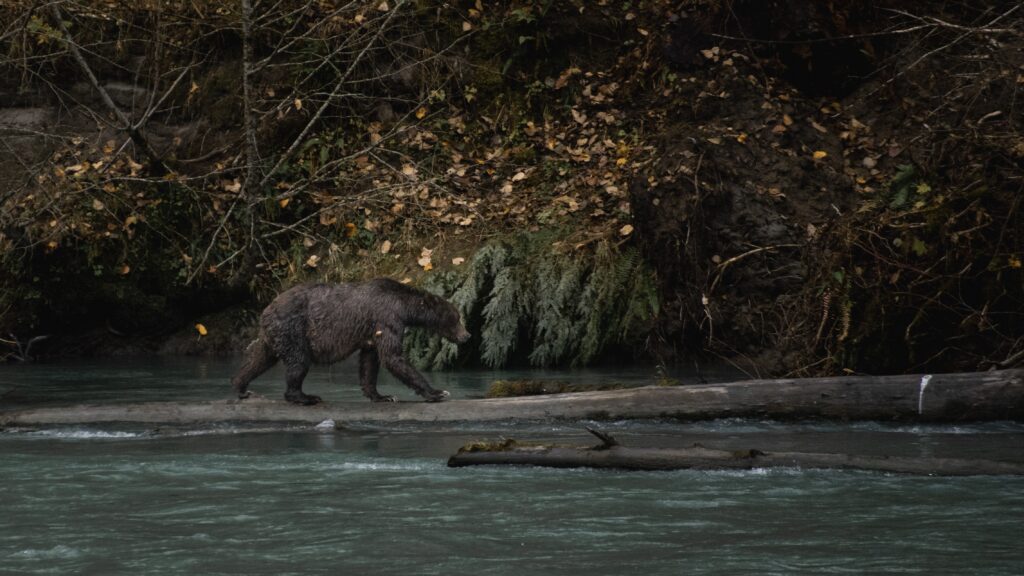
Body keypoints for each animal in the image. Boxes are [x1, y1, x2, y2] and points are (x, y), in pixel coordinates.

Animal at [231, 278, 470, 405]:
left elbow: (369, 363)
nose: (466, 335)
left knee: (259, 358)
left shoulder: (371, 333)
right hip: (294, 329)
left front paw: (382, 395)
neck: (404, 308)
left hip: (273, 335)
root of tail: (266, 310)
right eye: (456, 317)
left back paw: (242, 387)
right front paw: (438, 392)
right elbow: (393, 357)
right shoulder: (386, 318)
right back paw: (306, 396)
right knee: (298, 362)